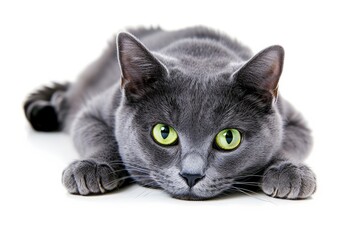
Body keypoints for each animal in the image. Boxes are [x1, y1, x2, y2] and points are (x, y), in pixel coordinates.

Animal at [23, 26, 316, 200]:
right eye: (163, 133)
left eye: (229, 138)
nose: (191, 175)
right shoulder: (92, 111)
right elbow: (102, 137)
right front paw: (93, 167)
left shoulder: (296, 122)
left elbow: (287, 144)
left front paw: (289, 171)